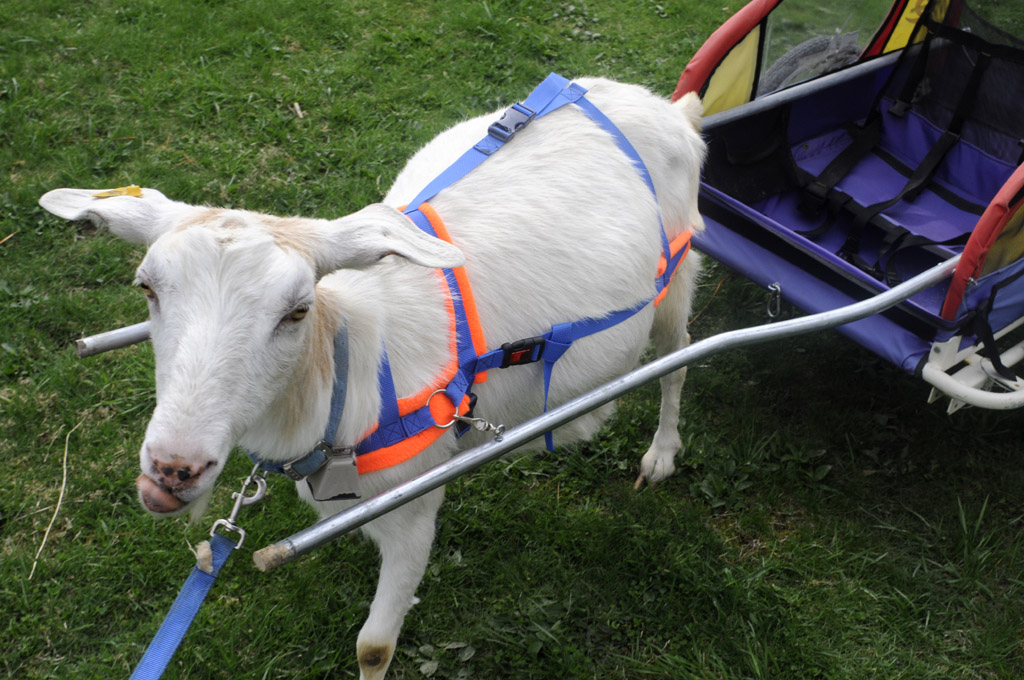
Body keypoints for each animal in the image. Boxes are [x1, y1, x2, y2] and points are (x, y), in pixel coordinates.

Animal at [39, 76, 705, 680]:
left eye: (297, 310)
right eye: (146, 288)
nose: (173, 470)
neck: (344, 370)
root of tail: (669, 106)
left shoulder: (414, 501)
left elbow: (374, 648)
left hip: (677, 275)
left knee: (679, 362)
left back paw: (661, 454)